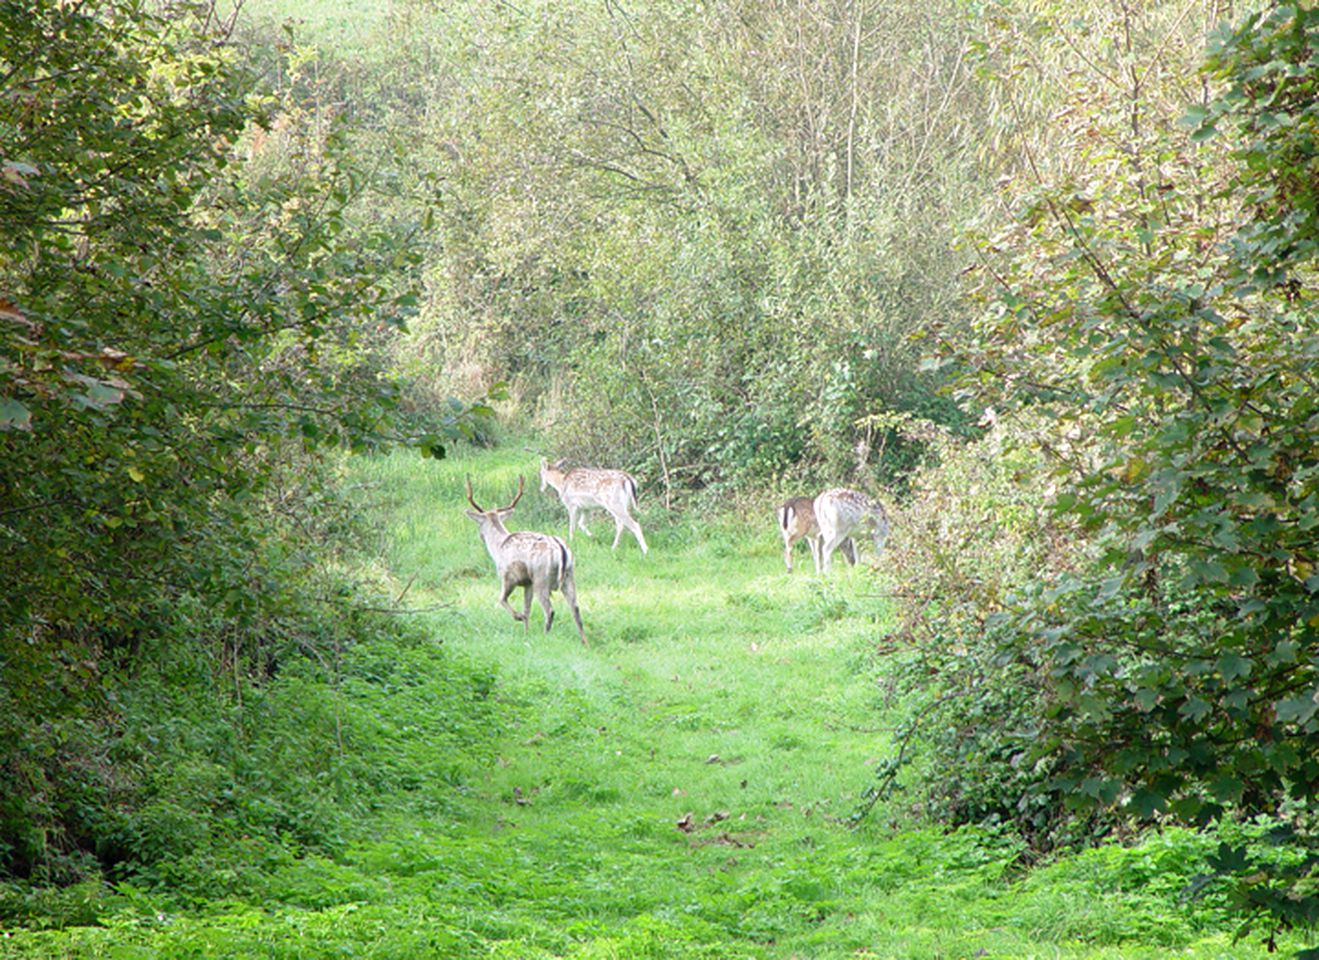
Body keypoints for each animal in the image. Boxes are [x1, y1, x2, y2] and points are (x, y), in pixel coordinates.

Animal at [466, 474, 585, 646]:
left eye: (479, 525)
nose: (481, 537)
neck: (498, 546)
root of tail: (561, 549)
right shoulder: (527, 583)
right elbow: (527, 609)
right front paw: (526, 633)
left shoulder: (508, 576)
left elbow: (502, 599)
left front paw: (519, 617)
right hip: (569, 575)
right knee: (575, 608)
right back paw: (584, 642)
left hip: (541, 578)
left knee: (550, 610)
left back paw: (545, 637)